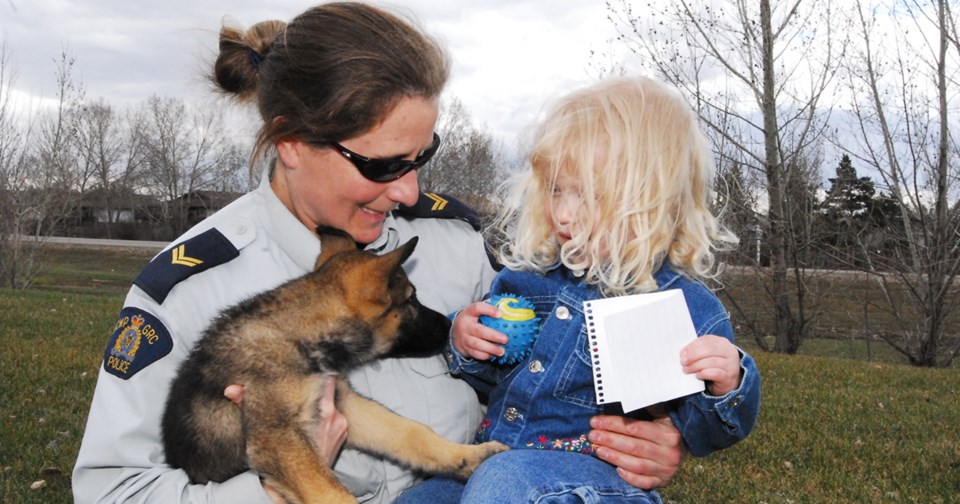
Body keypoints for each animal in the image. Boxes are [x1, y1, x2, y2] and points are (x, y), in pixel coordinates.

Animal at [163, 233, 510, 504]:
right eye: (411, 301)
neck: (297, 333)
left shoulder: (344, 403)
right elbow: (333, 493)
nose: (450, 325)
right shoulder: (277, 437)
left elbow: (411, 431)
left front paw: (465, 457)